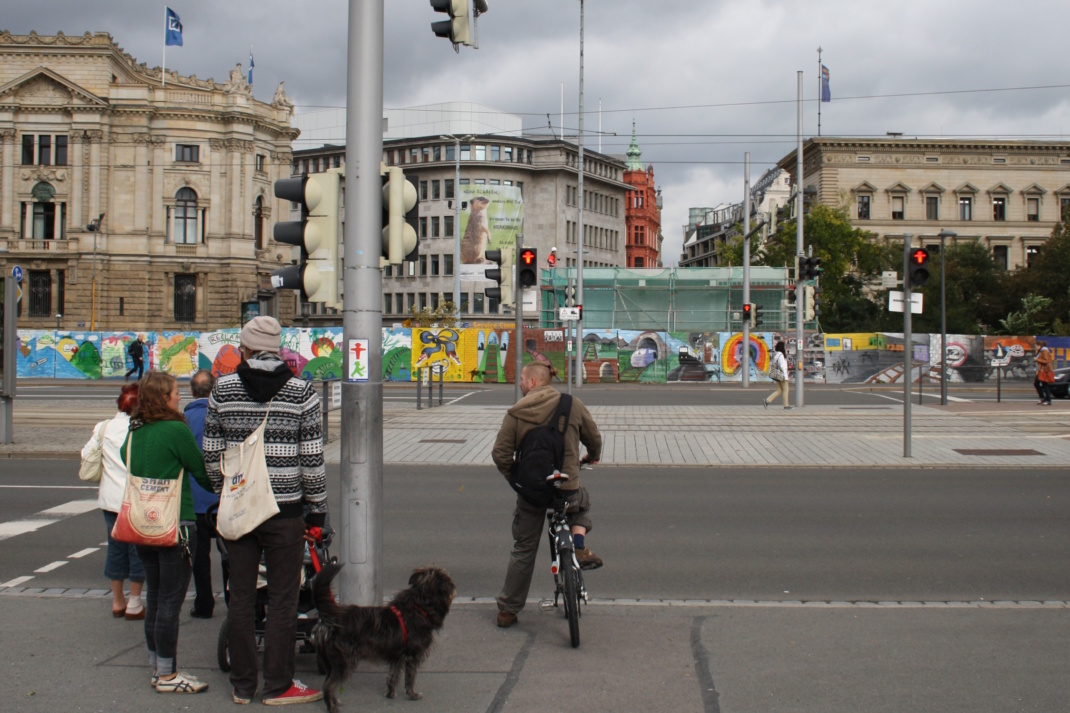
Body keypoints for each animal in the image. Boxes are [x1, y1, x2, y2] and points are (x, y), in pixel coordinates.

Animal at [312, 560, 455, 710]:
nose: (453, 585)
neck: (419, 606)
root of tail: (330, 620)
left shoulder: (397, 657)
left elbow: (392, 676)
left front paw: (390, 693)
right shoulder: (412, 656)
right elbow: (410, 678)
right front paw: (412, 695)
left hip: (331, 662)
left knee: (328, 682)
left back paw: (335, 701)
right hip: (343, 661)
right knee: (328, 685)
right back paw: (332, 707)